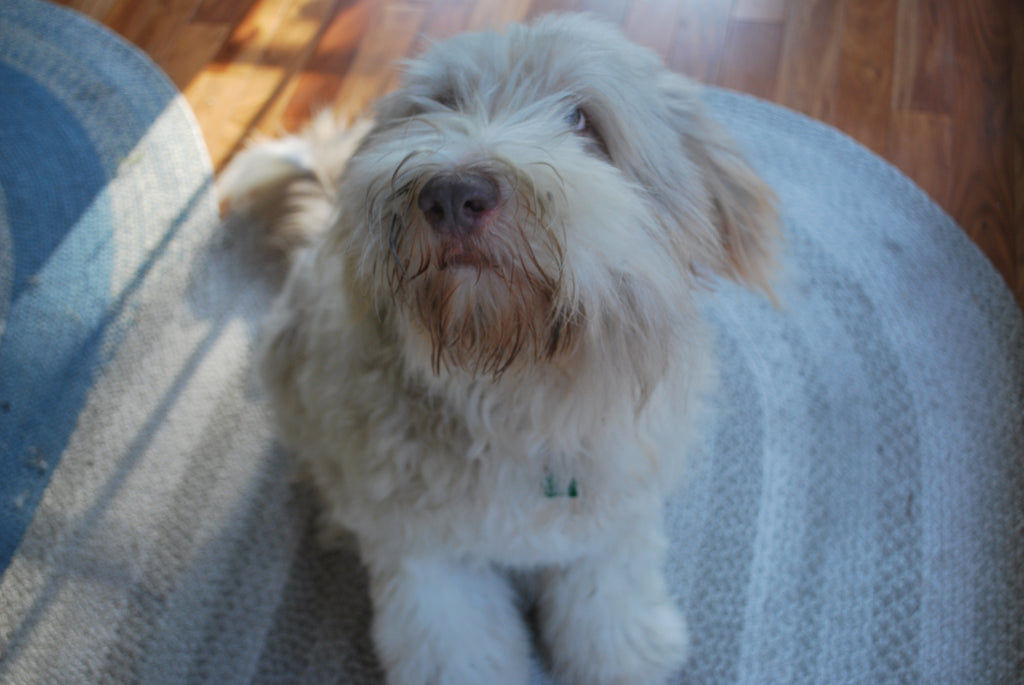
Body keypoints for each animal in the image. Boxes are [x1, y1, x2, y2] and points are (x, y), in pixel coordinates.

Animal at [222, 12, 774, 683]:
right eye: (437, 104)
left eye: (582, 120)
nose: (451, 195)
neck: (518, 391)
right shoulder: (425, 554)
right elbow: (456, 643)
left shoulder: (610, 528)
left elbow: (606, 602)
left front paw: (622, 653)